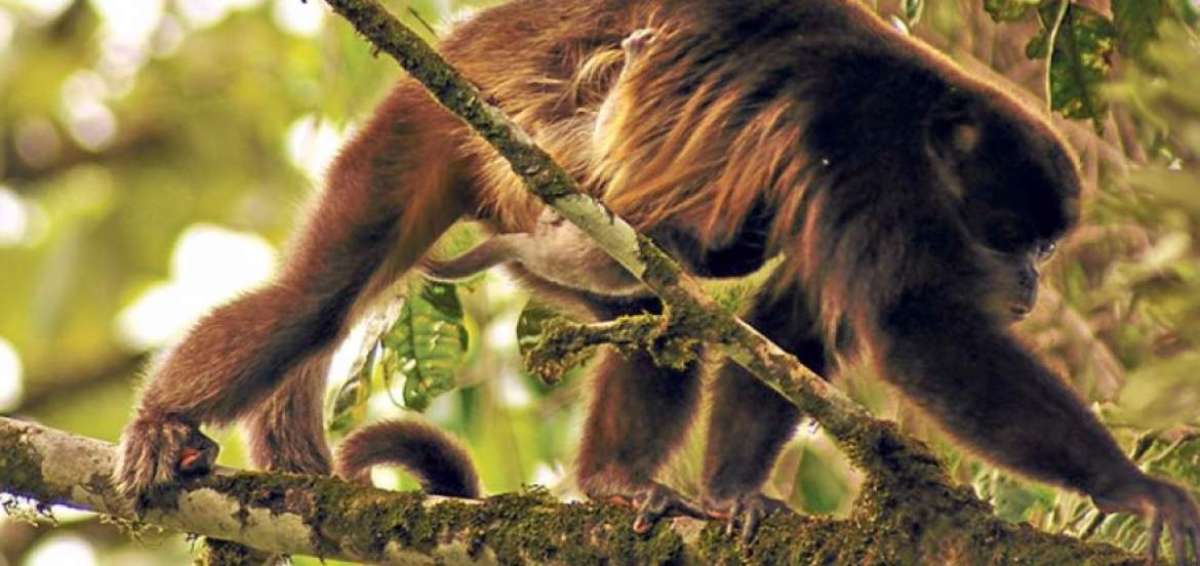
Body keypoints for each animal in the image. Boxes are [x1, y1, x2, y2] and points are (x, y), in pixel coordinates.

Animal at [114, 0, 1200, 559]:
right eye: (1015, 238)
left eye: (1046, 252)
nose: (1030, 289)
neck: (929, 117)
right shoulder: (866, 145)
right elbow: (913, 326)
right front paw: (1135, 487)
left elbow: (789, 319)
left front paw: (733, 492)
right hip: (428, 125)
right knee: (317, 299)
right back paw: (168, 419)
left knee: (658, 308)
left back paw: (618, 479)